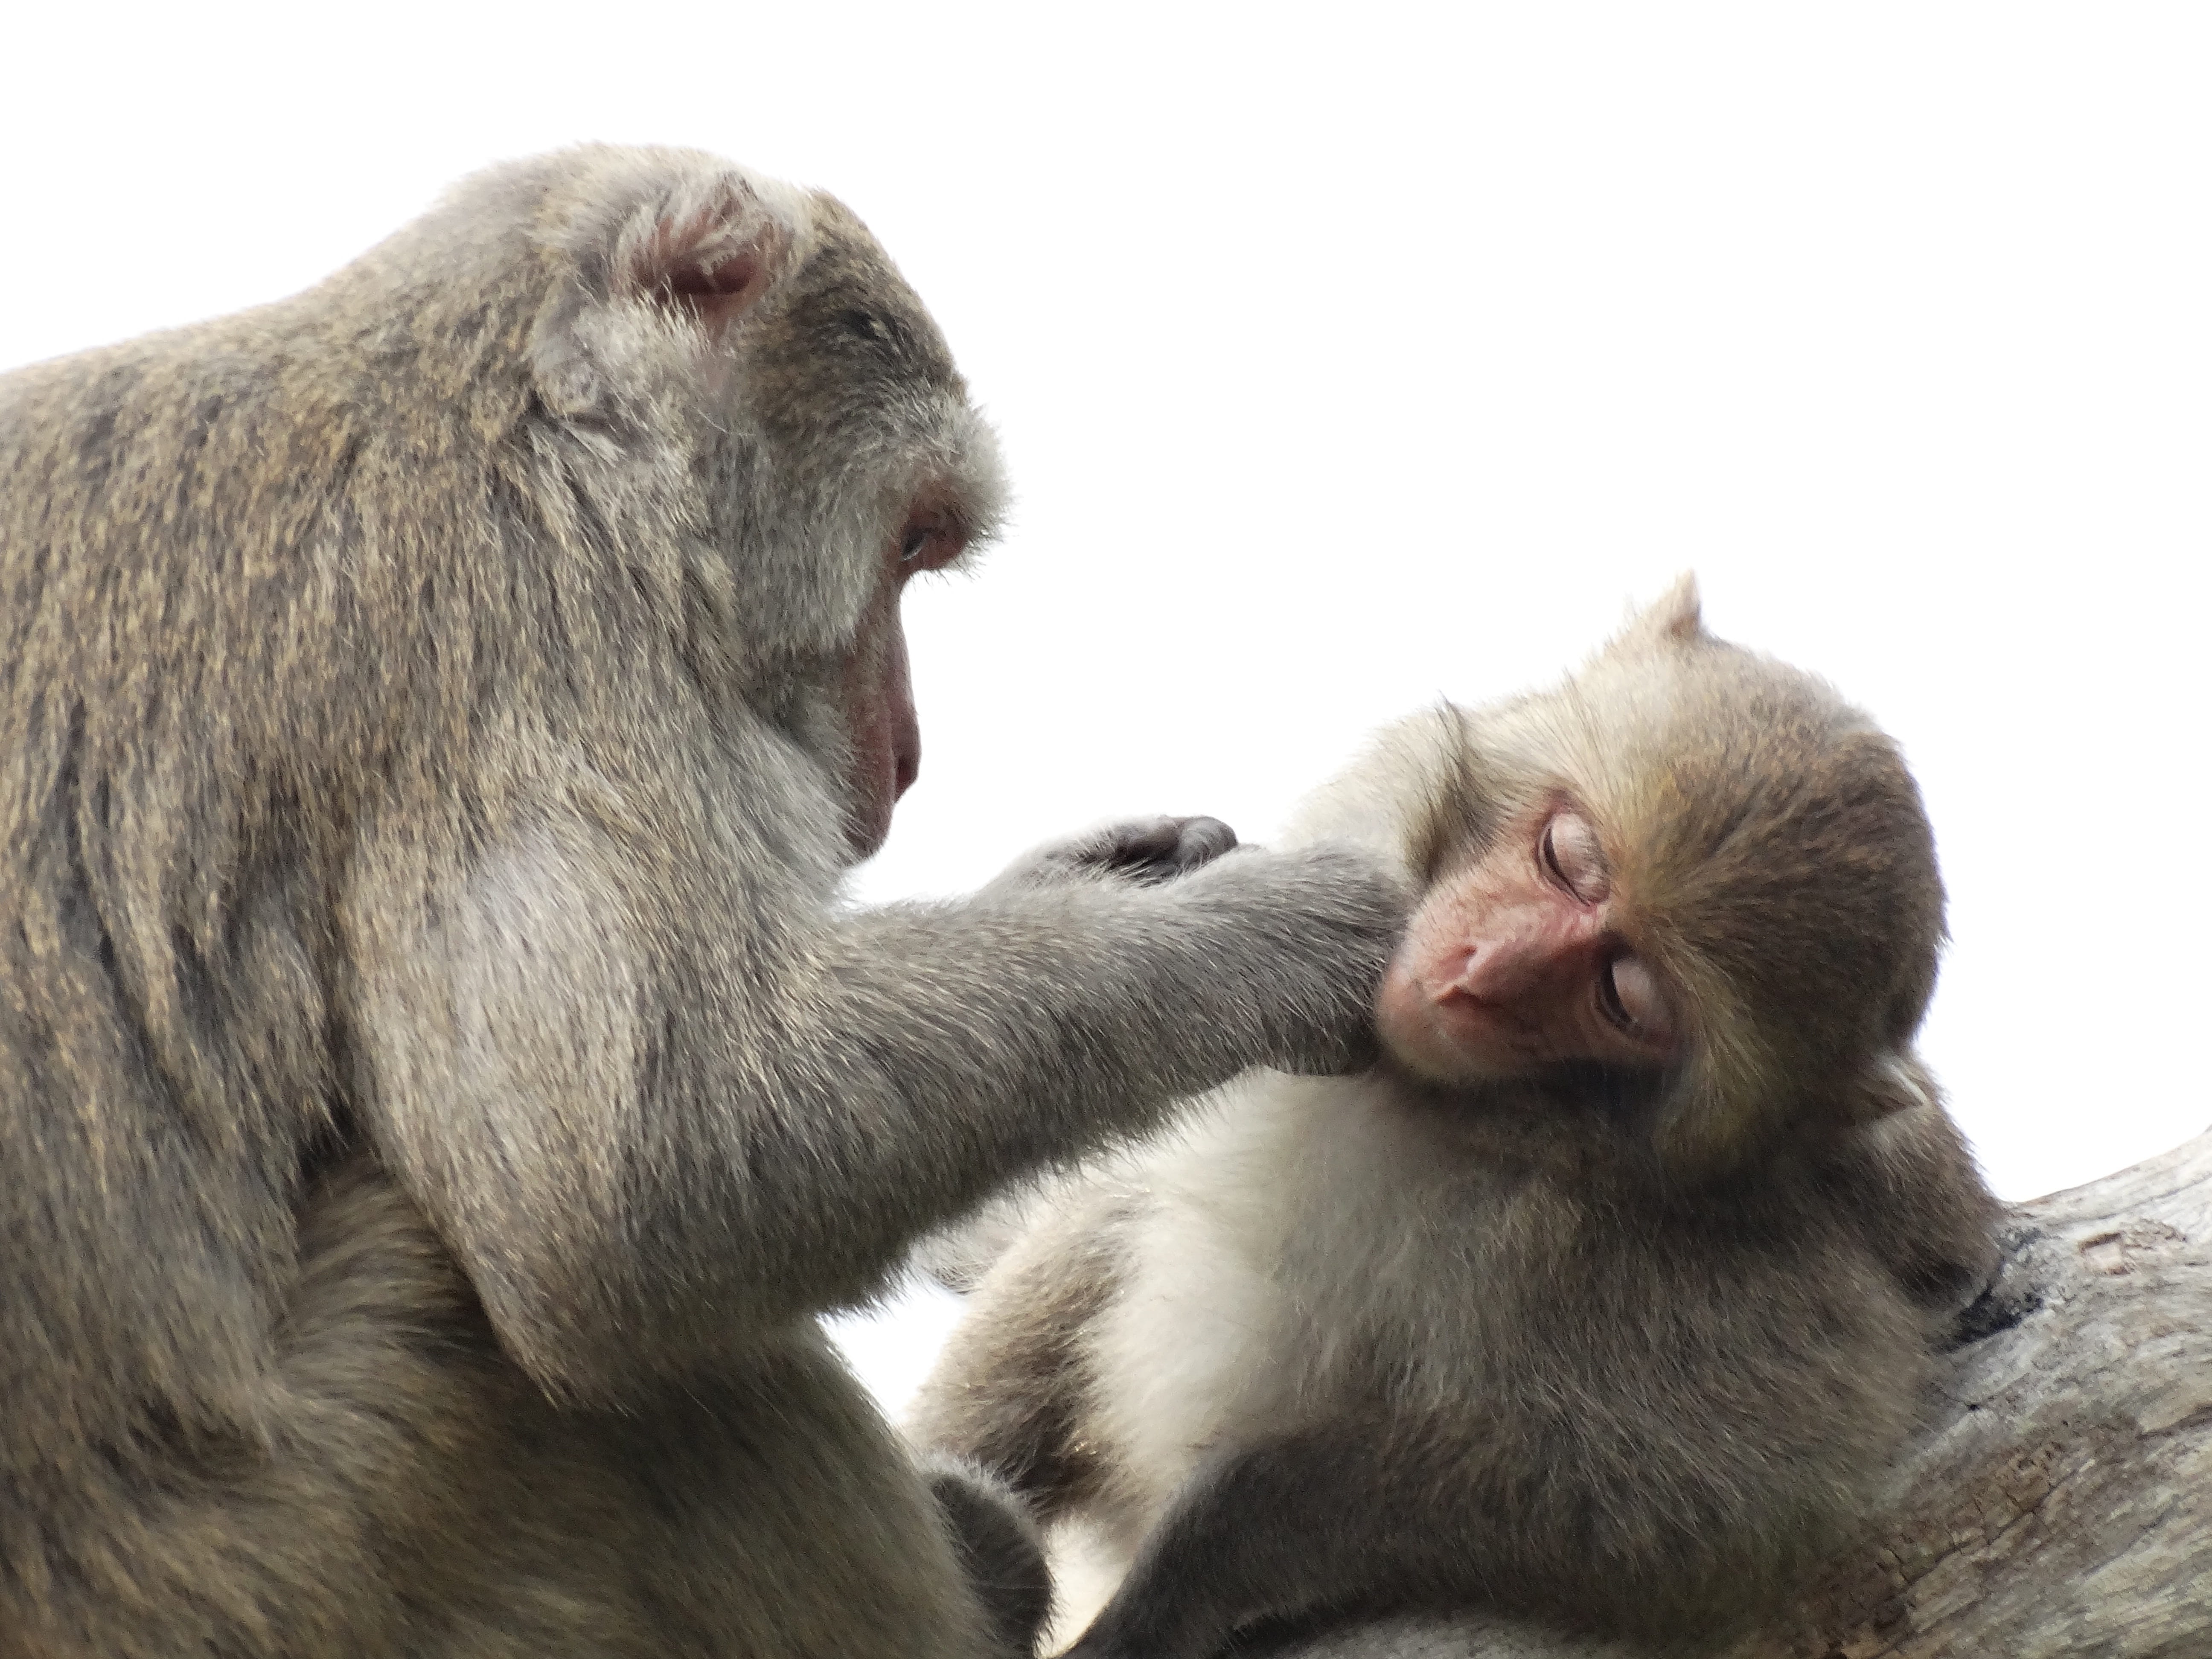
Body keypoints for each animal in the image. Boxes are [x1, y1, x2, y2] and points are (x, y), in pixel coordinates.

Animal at [0, 146, 1409, 1659]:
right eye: (910, 542)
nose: (906, 755)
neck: (512, 402)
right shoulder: (534, 633)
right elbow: (630, 1194)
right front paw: (1254, 940)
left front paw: (1106, 880)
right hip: (268, 1561)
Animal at [911, 579, 2003, 1657]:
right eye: (1569, 856)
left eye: (1622, 995)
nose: (1477, 972)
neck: (1441, 1103)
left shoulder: (1694, 1283)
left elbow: (1699, 1493)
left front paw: (1189, 1568)